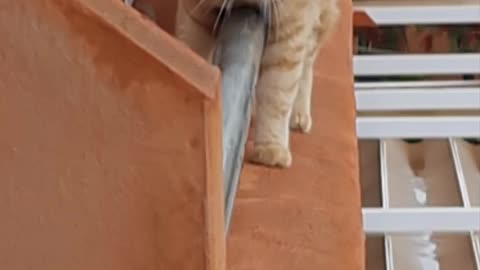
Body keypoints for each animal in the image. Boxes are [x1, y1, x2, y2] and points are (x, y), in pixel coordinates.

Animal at [175, 0, 338, 168]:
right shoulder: (197, 17)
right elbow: (194, 56)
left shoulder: (288, 29)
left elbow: (277, 95)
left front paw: (271, 147)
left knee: (307, 63)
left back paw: (299, 114)